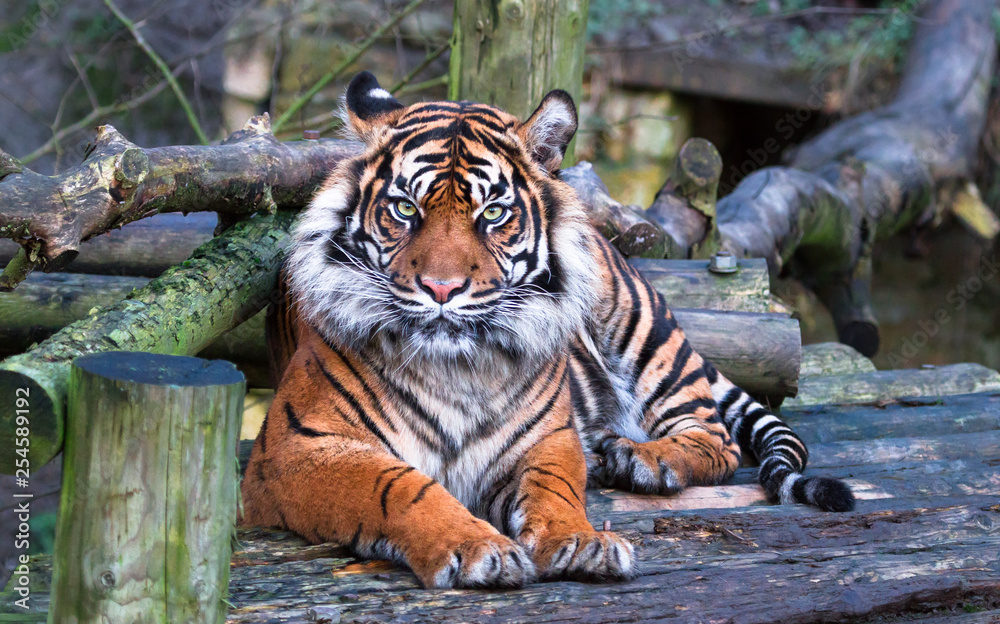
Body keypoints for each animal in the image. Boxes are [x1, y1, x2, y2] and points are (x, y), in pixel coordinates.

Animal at [240, 71, 855, 589]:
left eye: (492, 213)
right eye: (405, 209)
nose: (441, 288)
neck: (456, 368)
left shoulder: (546, 438)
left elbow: (555, 490)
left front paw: (581, 542)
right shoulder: (294, 449)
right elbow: (400, 486)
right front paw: (475, 547)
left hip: (639, 330)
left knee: (715, 435)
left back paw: (643, 459)